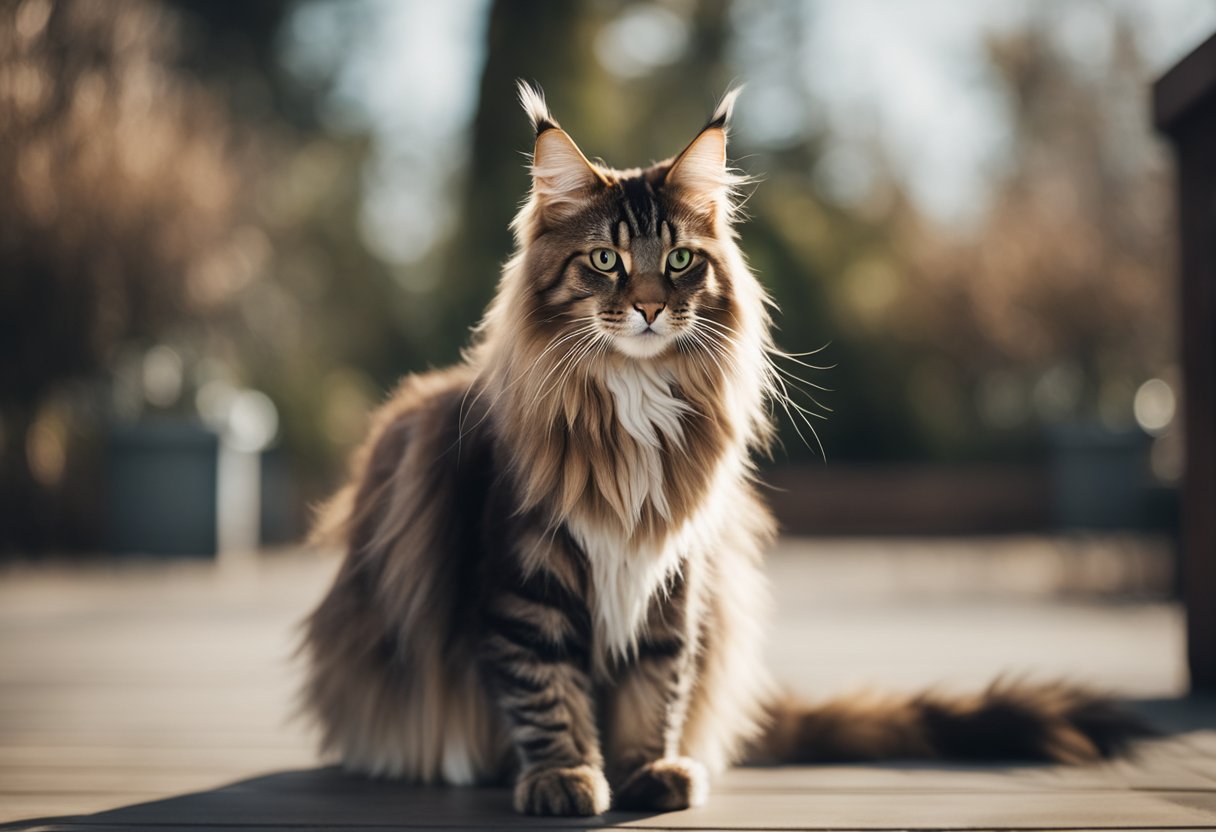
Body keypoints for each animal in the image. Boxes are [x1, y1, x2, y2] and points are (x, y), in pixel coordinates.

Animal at [301, 86, 1147, 817]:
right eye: (605, 261)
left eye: (679, 261)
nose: (648, 307)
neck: (634, 406)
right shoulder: (521, 576)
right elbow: (544, 689)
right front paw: (566, 775)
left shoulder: (675, 570)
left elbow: (657, 688)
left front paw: (647, 770)